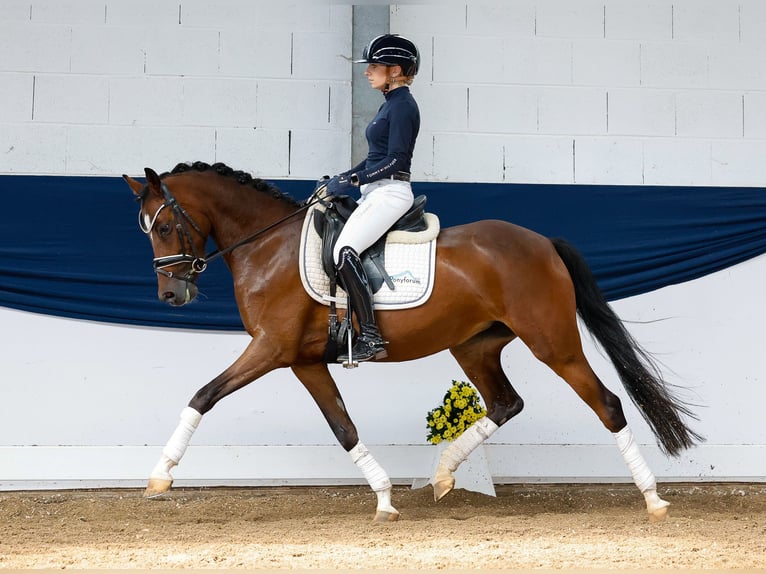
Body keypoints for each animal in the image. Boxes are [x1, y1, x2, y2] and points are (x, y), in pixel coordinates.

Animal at [124, 161, 704, 520]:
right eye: (146, 230)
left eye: (166, 226)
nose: (171, 294)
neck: (269, 245)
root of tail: (542, 242)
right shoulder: (303, 361)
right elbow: (344, 427)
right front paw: (384, 499)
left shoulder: (269, 349)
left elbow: (202, 396)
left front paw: (159, 477)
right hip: (474, 346)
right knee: (505, 403)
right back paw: (444, 475)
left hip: (553, 343)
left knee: (607, 404)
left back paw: (653, 500)